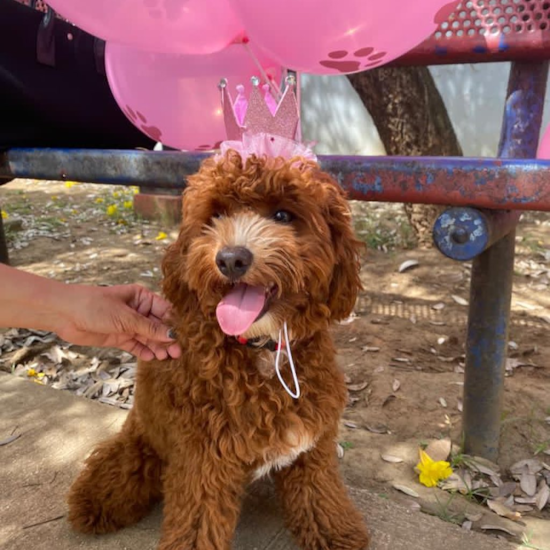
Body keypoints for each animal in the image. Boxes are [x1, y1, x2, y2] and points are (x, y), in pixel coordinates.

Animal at [69, 152, 370, 550]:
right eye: (215, 215)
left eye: (283, 215)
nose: (231, 259)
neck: (260, 348)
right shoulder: (203, 460)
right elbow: (198, 524)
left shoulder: (311, 446)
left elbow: (319, 494)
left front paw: (336, 532)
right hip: (139, 449)